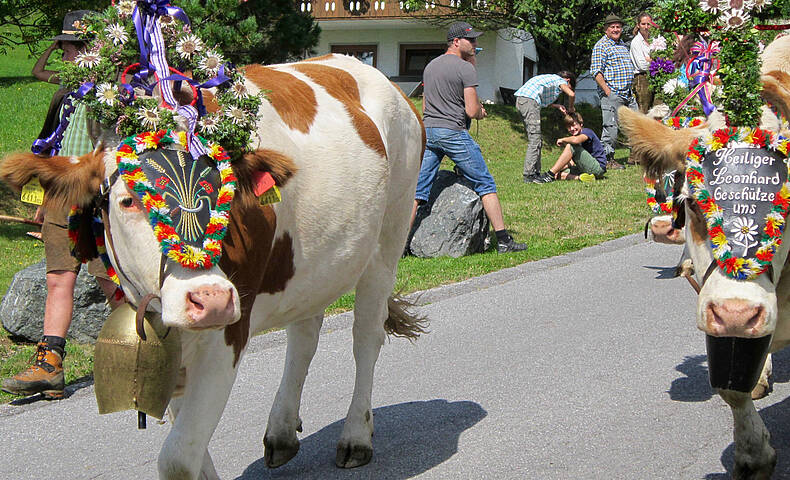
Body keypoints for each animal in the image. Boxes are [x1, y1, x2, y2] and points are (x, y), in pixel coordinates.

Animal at [0, 54, 430, 478]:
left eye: (226, 193)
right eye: (127, 200)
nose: (211, 299)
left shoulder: (230, 330)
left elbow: (178, 458)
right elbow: (188, 444)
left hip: (387, 240)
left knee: (366, 337)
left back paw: (356, 437)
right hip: (315, 263)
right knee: (305, 335)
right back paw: (282, 433)